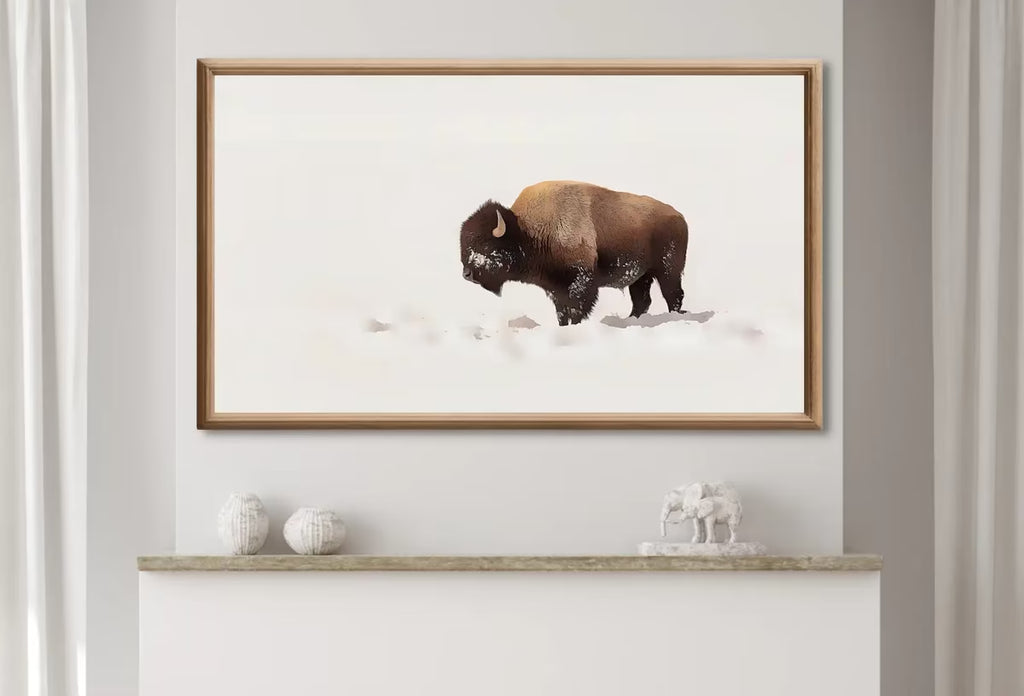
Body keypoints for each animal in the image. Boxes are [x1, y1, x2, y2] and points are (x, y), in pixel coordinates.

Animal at [459, 181, 689, 325]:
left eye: (486, 245)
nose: (467, 274)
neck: (527, 230)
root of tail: (679, 216)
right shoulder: (555, 288)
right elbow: (562, 312)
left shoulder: (581, 282)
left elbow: (576, 309)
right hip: (641, 276)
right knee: (642, 301)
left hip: (668, 271)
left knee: (673, 295)